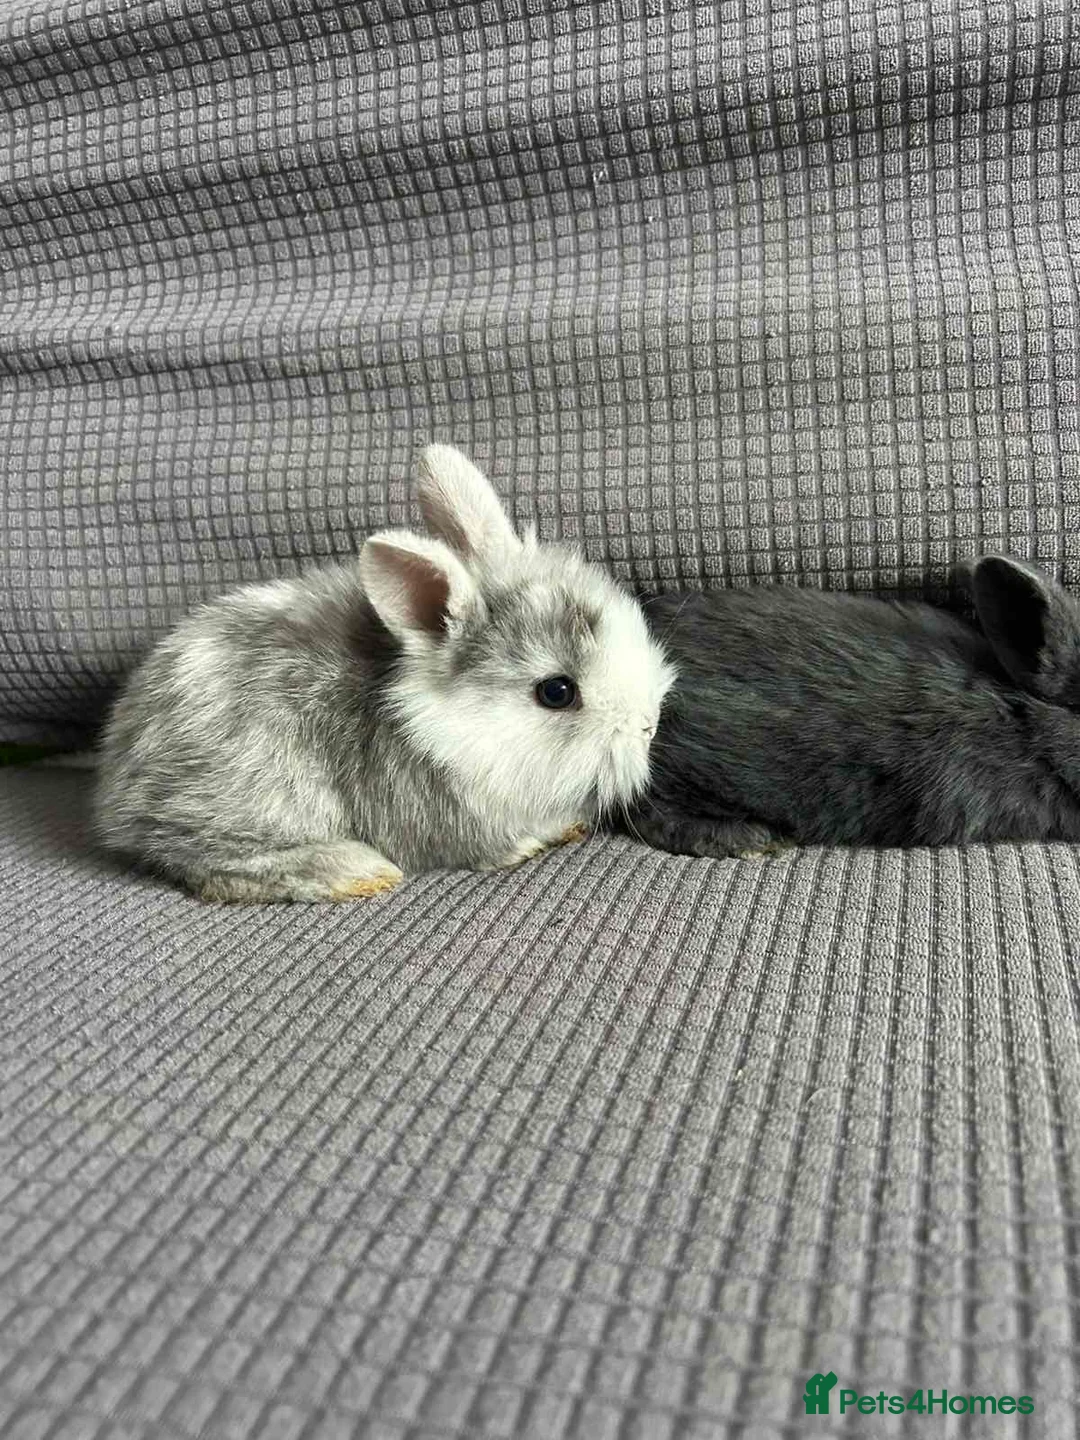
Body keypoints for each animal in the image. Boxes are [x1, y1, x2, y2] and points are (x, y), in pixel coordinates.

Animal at [94, 445, 675, 901]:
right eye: (557, 691)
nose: (649, 726)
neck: (447, 727)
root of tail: (118, 782)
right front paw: (547, 835)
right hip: (251, 799)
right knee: (198, 857)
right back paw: (356, 872)